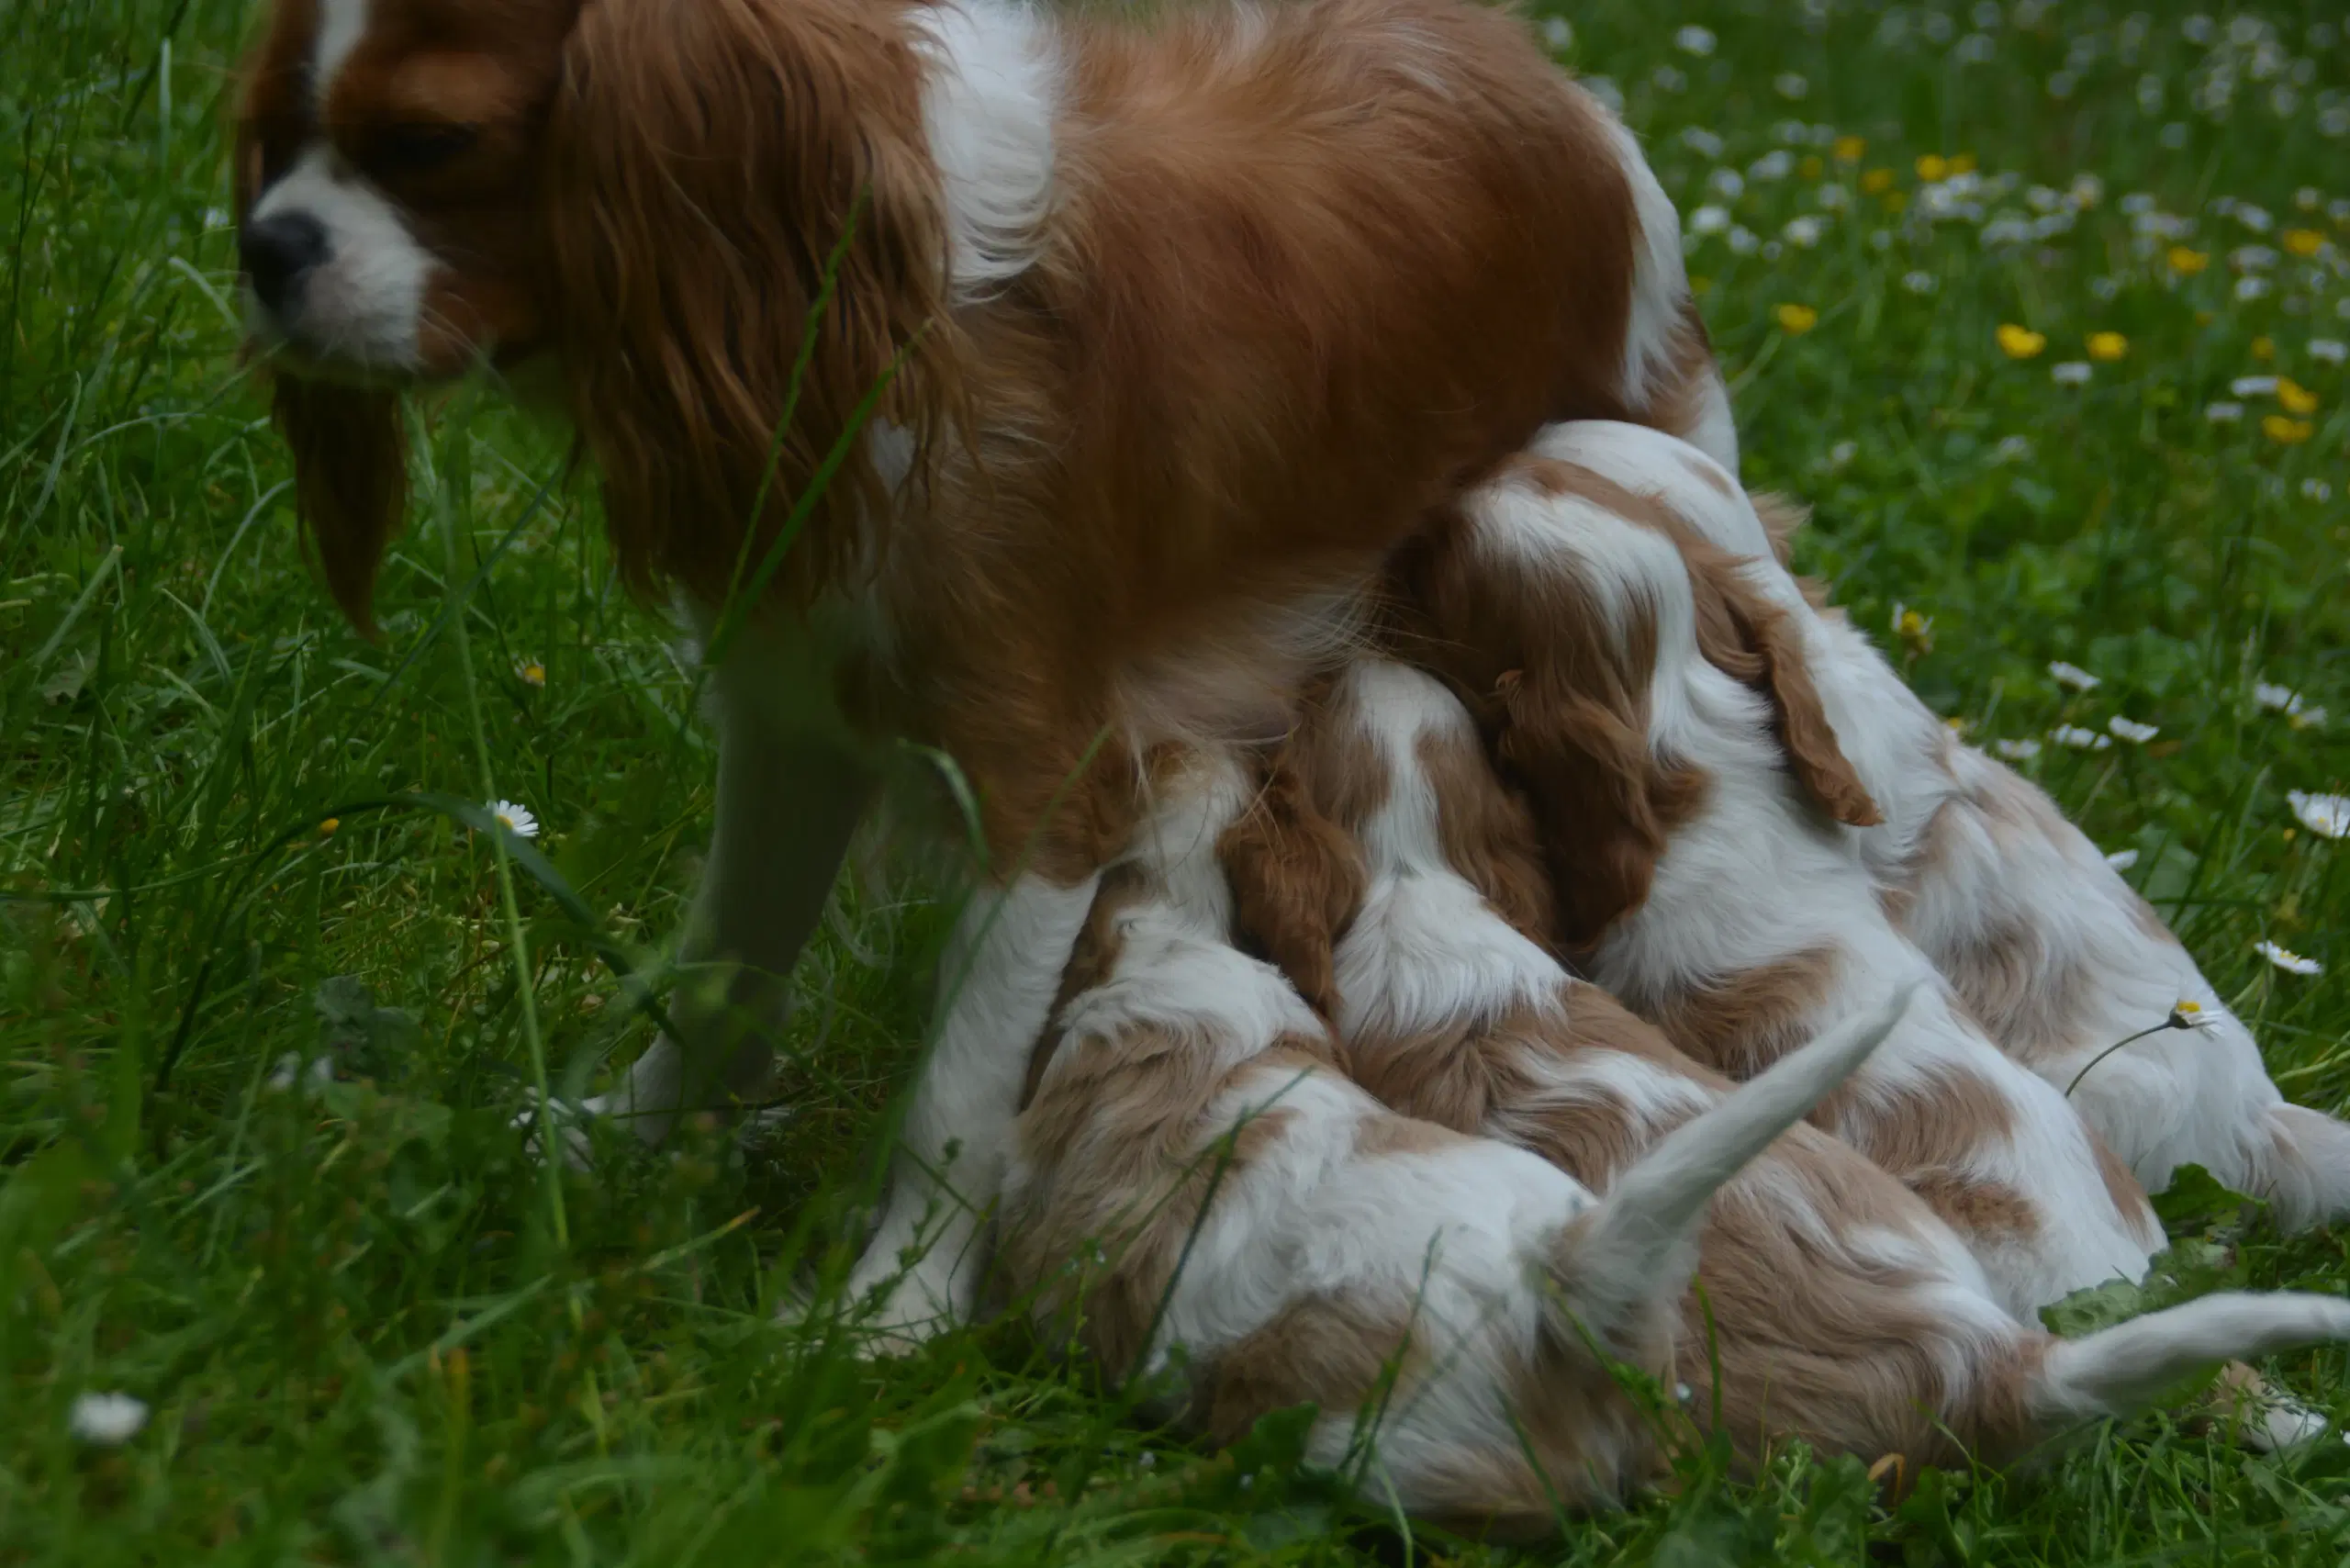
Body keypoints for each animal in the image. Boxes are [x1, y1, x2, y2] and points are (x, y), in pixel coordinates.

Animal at [238, 0, 1739, 1335]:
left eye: (430, 143)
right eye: (282, 131)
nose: (262, 245)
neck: (864, 287)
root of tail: (1559, 90)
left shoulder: (1043, 788)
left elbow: (956, 1097)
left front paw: (892, 1314)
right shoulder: (794, 725)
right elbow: (727, 961)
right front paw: (622, 1145)